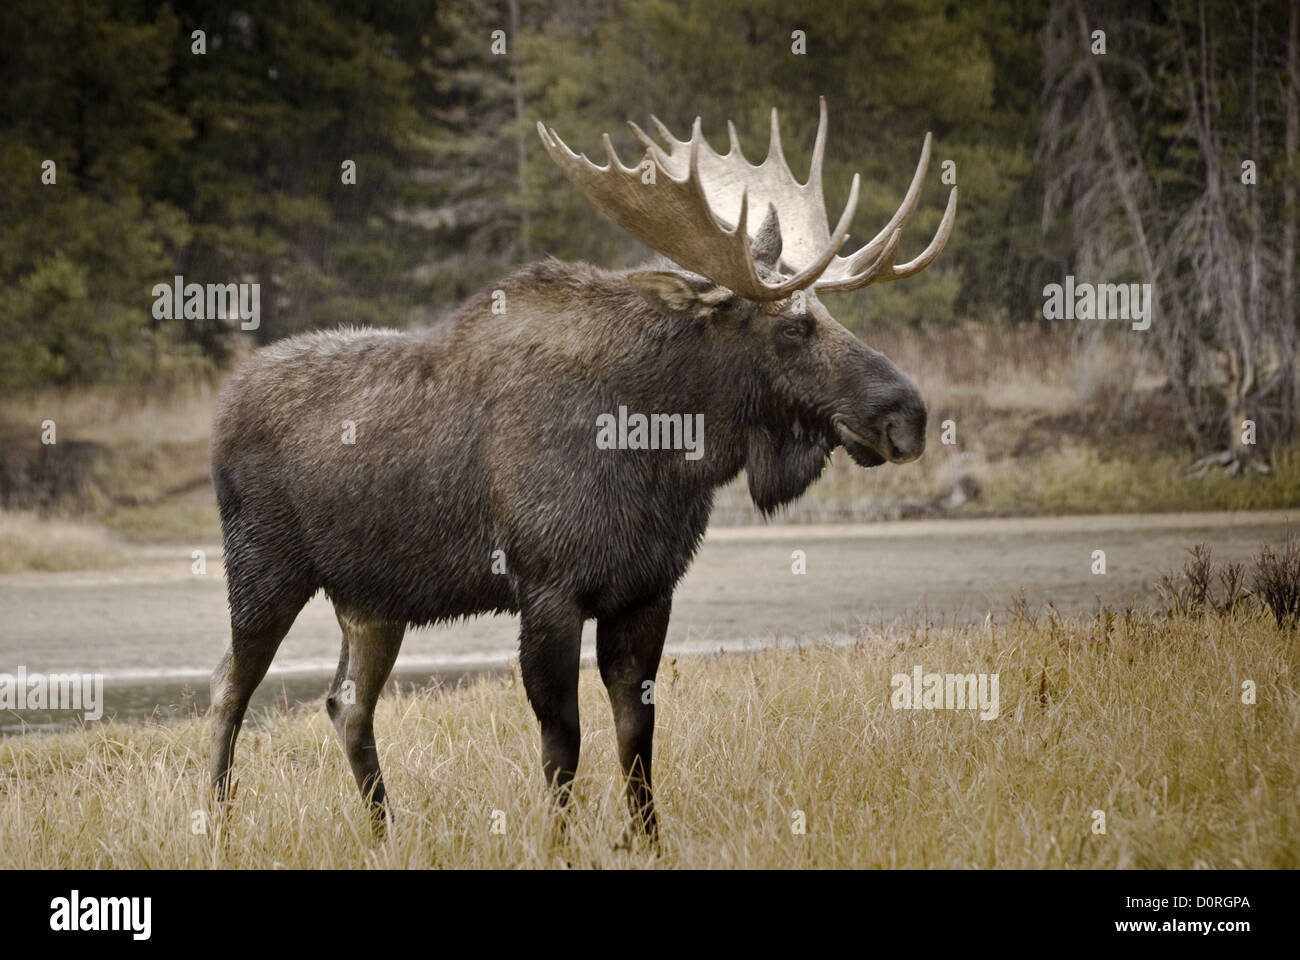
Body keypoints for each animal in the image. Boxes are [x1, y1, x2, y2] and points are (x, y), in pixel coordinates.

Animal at [210, 98, 956, 837]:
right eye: (792, 328)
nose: (908, 415)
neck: (655, 448)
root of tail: (223, 407)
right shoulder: (548, 587)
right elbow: (562, 744)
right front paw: (559, 845)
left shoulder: (647, 590)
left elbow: (637, 738)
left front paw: (646, 841)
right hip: (263, 569)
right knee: (229, 687)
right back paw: (218, 823)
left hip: (372, 599)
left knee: (346, 703)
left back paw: (385, 835)